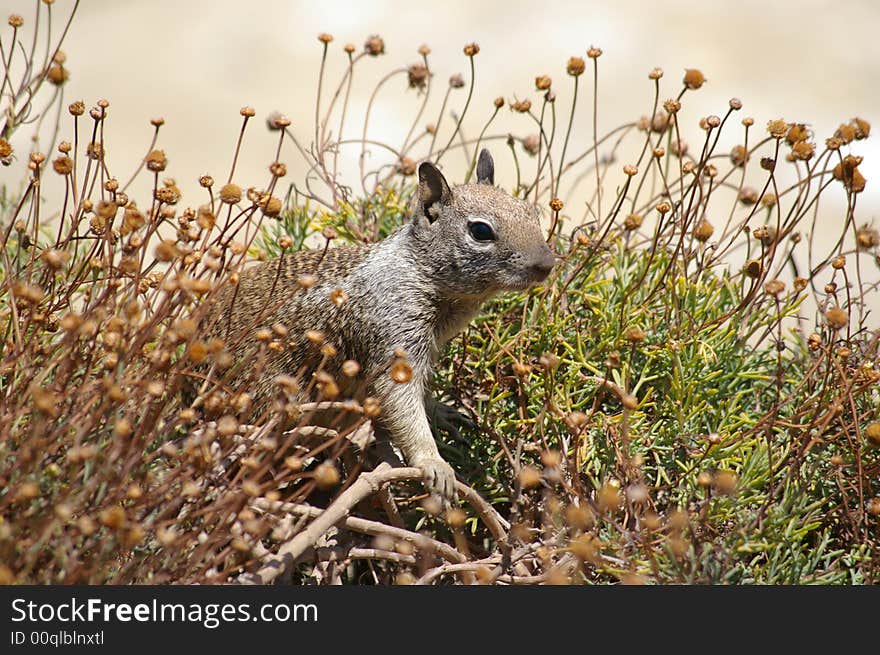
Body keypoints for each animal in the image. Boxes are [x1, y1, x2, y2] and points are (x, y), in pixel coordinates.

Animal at [199, 151, 552, 502]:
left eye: (531, 212)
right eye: (480, 231)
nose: (547, 264)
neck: (418, 270)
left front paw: (440, 411)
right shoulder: (396, 328)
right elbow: (400, 399)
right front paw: (434, 463)